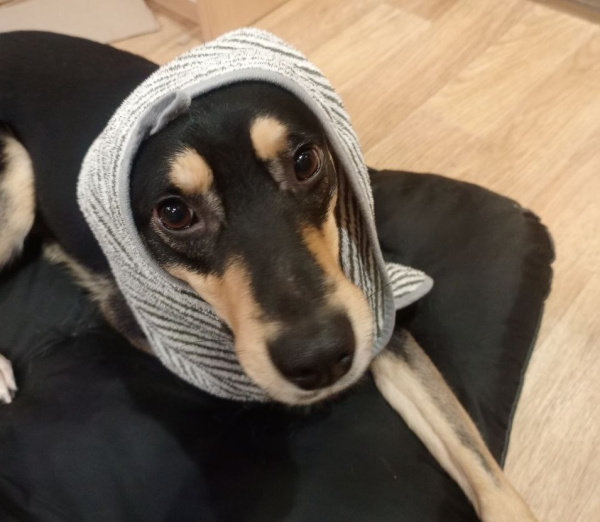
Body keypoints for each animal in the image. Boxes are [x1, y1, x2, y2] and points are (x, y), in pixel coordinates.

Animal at [0, 31, 538, 521]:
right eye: (173, 213)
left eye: (306, 161)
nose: (321, 360)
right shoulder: (130, 316)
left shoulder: (375, 315)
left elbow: (470, 448)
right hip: (16, 179)